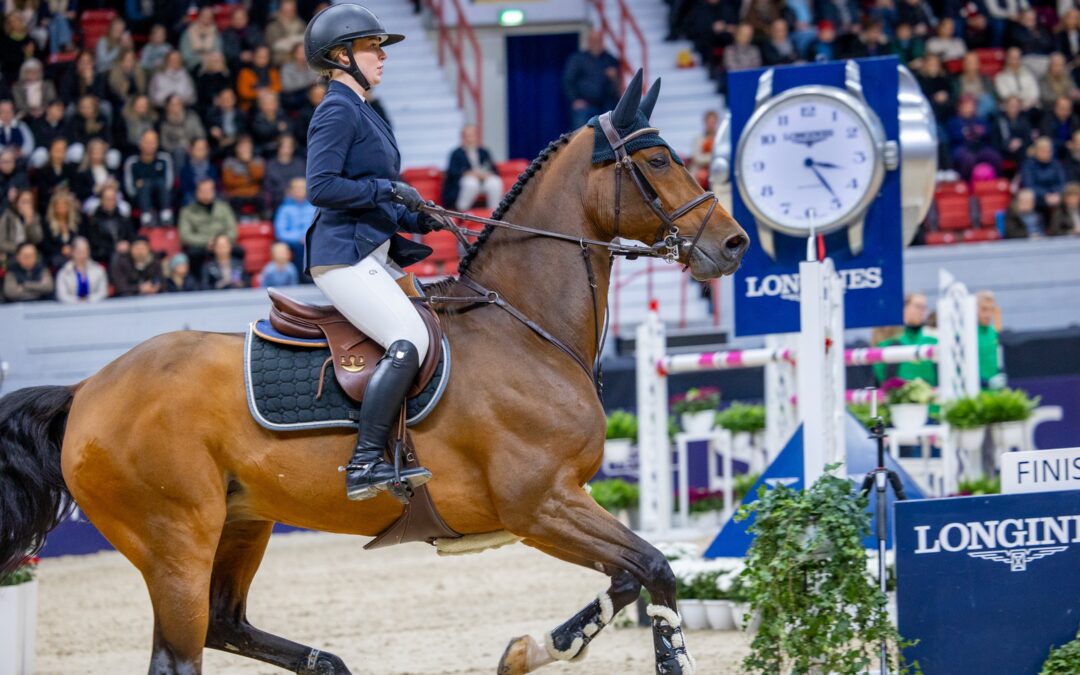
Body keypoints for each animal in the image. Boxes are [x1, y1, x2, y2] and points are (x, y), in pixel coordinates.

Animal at [0, 72, 748, 675]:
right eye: (658, 158)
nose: (735, 242)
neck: (523, 325)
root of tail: (86, 390)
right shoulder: (540, 504)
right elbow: (656, 570)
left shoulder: (560, 503)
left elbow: (626, 580)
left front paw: (525, 650)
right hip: (173, 541)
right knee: (181, 653)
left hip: (242, 520)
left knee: (225, 622)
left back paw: (330, 663)